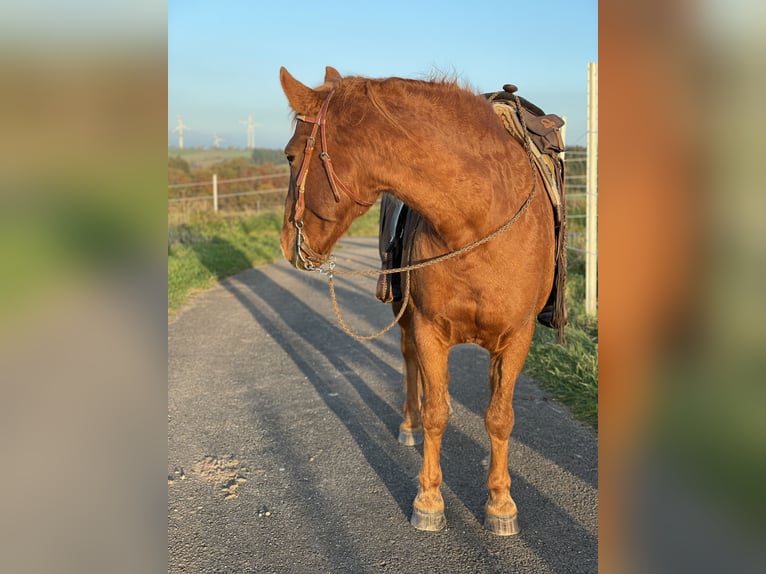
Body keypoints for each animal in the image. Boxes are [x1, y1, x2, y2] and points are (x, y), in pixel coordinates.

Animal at [280, 65, 560, 536]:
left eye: (289, 155)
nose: (286, 242)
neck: (477, 220)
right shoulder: (430, 330)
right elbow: (436, 413)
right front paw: (428, 500)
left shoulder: (517, 337)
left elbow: (499, 416)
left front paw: (501, 503)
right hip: (406, 315)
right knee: (411, 366)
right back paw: (408, 425)